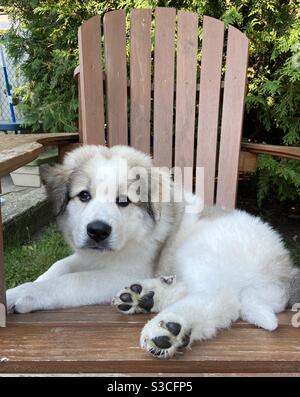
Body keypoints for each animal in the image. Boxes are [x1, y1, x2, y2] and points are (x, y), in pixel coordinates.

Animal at [6, 145, 298, 358]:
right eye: (84, 196)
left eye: (123, 201)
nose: (97, 231)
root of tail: (283, 270)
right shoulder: (88, 255)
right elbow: (59, 266)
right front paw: (27, 285)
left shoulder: (127, 268)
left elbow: (69, 282)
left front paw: (22, 293)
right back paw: (143, 296)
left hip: (201, 248)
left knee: (217, 298)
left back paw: (168, 329)